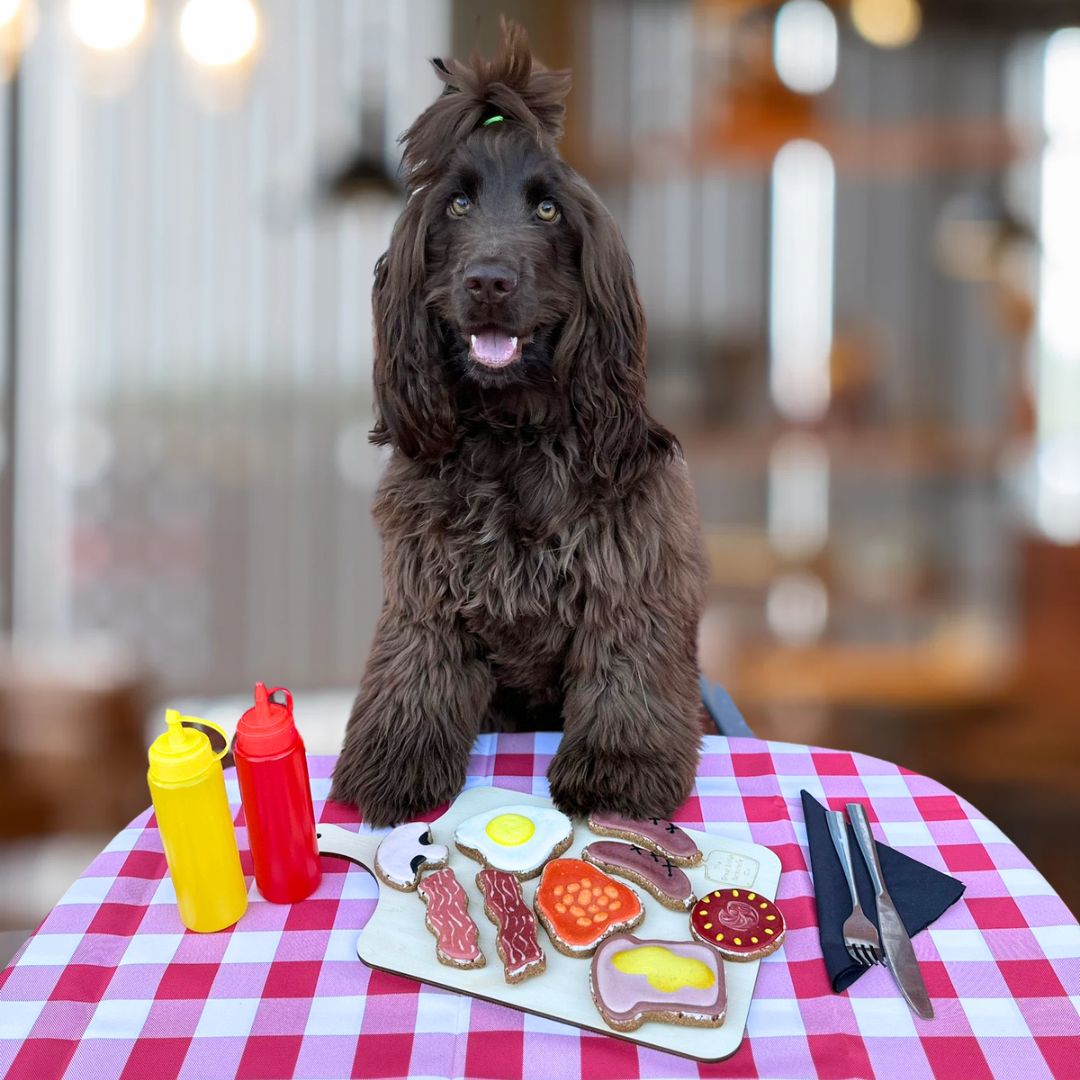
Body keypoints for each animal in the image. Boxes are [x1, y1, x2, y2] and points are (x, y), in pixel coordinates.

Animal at [332, 23, 712, 825]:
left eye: (547, 212)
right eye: (456, 207)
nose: (488, 282)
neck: (512, 435)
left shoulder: (629, 575)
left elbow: (625, 676)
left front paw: (618, 774)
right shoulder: (426, 587)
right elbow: (415, 673)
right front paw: (395, 767)